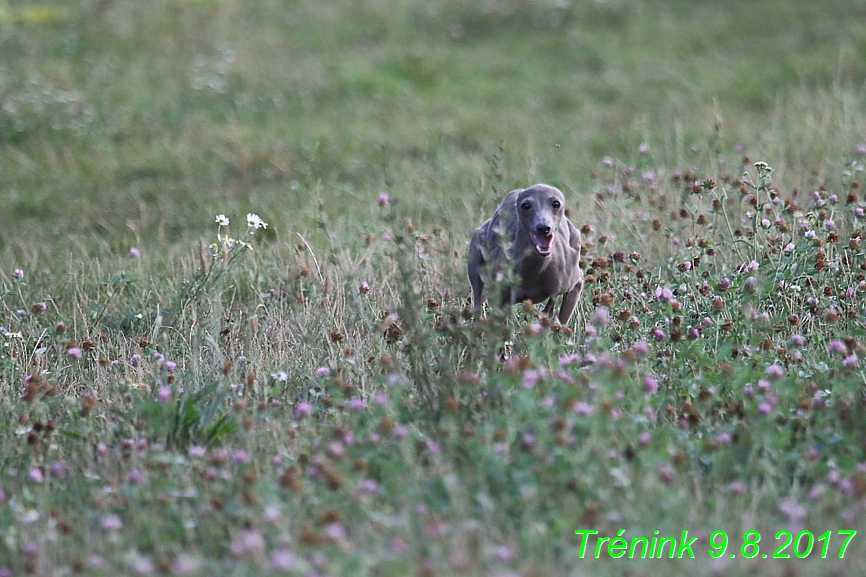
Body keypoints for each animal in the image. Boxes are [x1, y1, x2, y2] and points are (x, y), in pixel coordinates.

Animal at [466, 182, 580, 322]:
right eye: (526, 206)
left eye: (556, 203)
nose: (543, 228)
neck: (535, 271)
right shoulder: (500, 296)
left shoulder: (573, 283)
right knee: (477, 294)